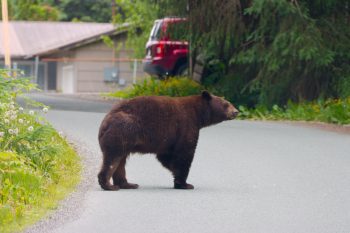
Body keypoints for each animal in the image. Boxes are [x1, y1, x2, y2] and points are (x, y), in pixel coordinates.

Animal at [96, 90, 238, 190]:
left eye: (229, 102)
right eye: (226, 104)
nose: (236, 111)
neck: (198, 114)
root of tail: (104, 123)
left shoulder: (167, 140)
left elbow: (165, 156)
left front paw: (176, 175)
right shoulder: (186, 126)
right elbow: (184, 154)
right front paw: (185, 184)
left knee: (120, 161)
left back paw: (127, 184)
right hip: (123, 131)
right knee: (113, 158)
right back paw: (109, 185)